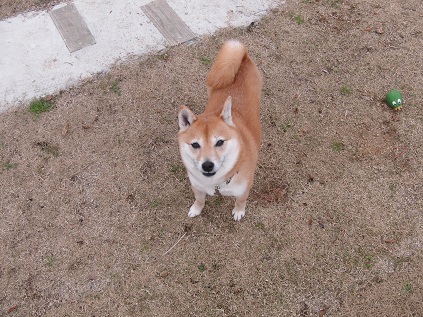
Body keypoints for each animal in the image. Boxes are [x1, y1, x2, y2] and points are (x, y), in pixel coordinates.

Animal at [176, 39, 262, 220]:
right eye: (195, 145)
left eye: (220, 142)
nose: (207, 165)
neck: (215, 183)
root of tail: (242, 55)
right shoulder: (197, 186)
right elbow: (199, 199)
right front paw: (196, 209)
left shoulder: (244, 189)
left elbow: (241, 201)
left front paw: (239, 211)